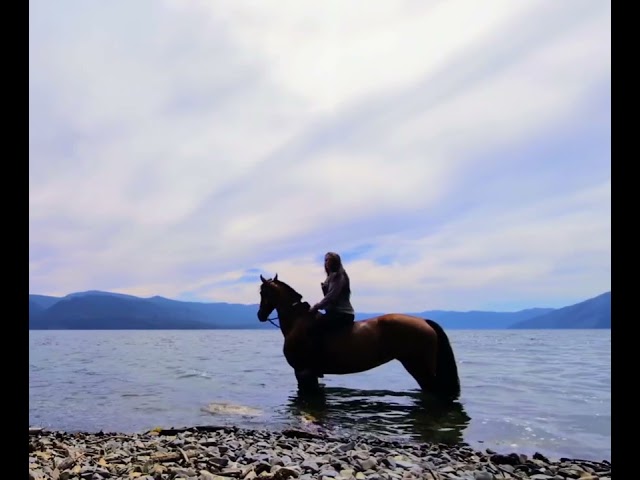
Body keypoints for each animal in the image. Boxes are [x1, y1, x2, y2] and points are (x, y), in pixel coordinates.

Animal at [256, 274, 461, 402]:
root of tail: (424, 322)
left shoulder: (303, 372)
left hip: (420, 368)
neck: (297, 322)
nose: (260, 315)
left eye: (262, 292)